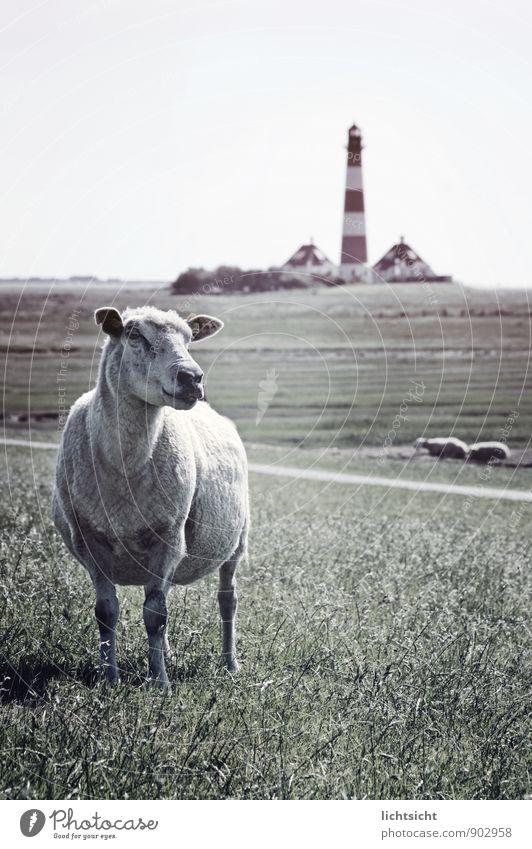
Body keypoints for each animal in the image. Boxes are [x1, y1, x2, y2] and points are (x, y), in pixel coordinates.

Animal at [53, 302, 248, 684]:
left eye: (189, 339)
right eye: (134, 335)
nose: (192, 378)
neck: (125, 467)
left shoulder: (169, 536)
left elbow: (156, 616)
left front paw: (159, 682)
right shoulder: (89, 540)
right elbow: (107, 612)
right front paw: (108, 679)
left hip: (237, 540)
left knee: (227, 599)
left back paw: (229, 663)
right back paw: (168, 654)